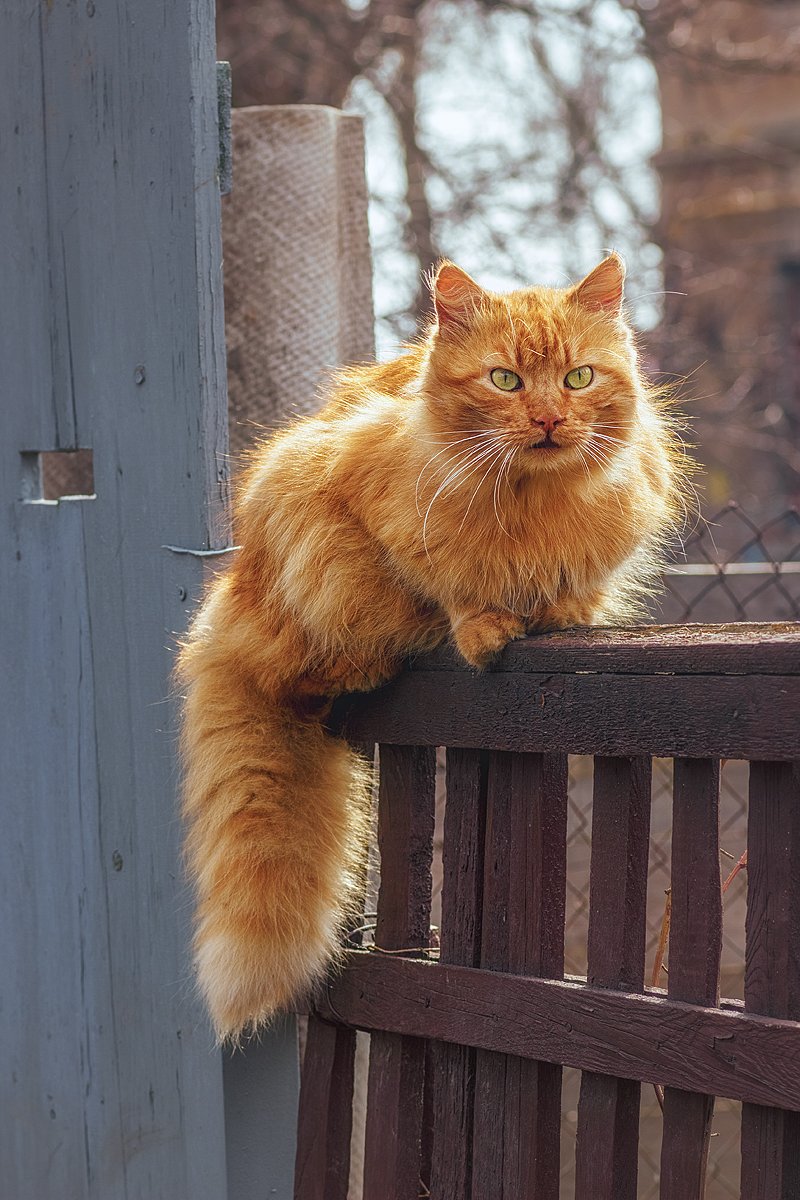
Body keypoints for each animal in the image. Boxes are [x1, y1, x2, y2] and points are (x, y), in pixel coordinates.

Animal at [179, 255, 690, 1041]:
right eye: (505, 380)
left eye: (579, 378)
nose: (549, 419)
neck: (533, 502)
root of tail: (230, 605)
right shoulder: (375, 513)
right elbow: (445, 590)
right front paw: (482, 627)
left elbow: (575, 594)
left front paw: (558, 612)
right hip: (299, 537)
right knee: (305, 671)